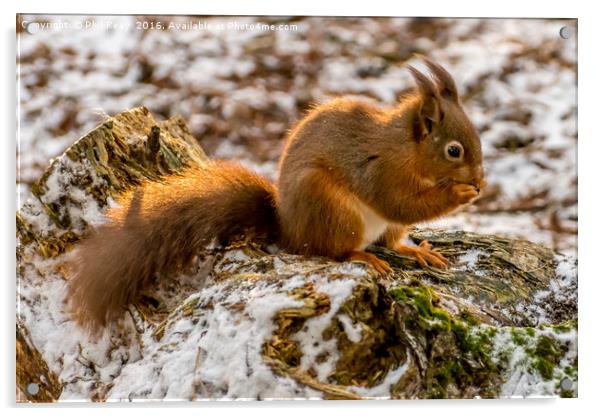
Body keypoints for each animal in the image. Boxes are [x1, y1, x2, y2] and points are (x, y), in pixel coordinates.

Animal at [68, 57, 486, 332]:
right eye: (453, 150)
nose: (481, 181)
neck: (405, 149)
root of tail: (289, 231)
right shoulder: (380, 172)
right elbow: (400, 203)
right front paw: (460, 193)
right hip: (332, 208)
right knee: (332, 250)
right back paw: (362, 256)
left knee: (392, 239)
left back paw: (415, 251)